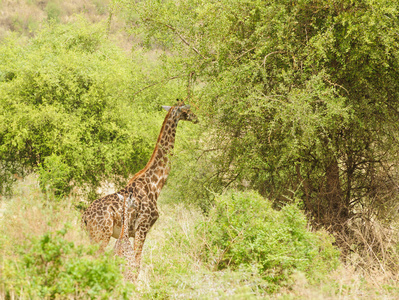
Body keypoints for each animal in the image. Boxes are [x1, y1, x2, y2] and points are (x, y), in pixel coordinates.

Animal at [81, 101, 198, 278]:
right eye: (187, 110)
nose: (196, 118)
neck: (155, 184)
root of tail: (85, 216)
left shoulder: (133, 232)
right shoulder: (142, 228)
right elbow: (136, 264)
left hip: (91, 236)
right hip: (101, 236)